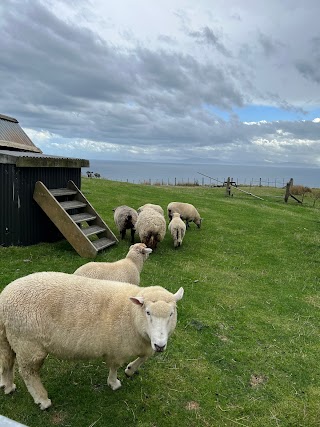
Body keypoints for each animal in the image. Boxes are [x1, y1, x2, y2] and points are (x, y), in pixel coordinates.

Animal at [0, 274, 184, 412]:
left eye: (171, 313)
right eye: (148, 312)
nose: (160, 345)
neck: (131, 314)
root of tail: (4, 298)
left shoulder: (144, 343)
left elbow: (145, 357)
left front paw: (130, 370)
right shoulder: (117, 349)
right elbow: (114, 367)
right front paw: (114, 383)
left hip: (9, 338)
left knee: (7, 362)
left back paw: (8, 386)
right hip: (28, 344)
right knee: (28, 372)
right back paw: (42, 400)